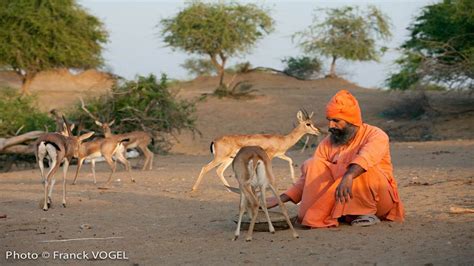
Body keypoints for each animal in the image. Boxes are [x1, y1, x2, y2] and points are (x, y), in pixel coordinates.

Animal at [191, 110, 320, 191]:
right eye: (308, 124)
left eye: (312, 123)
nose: (318, 131)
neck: (283, 139)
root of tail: (215, 140)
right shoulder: (269, 155)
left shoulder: (279, 155)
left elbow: (290, 160)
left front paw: (293, 180)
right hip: (220, 158)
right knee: (205, 168)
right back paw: (194, 189)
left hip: (228, 159)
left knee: (219, 171)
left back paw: (231, 189)